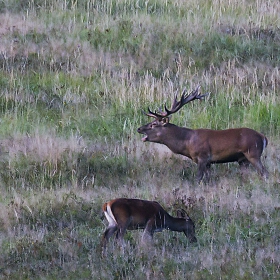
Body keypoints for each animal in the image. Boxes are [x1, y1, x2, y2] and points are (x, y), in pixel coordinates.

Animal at [137, 86, 268, 182]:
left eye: (153, 124)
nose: (139, 129)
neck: (187, 142)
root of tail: (263, 137)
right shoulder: (208, 162)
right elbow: (208, 179)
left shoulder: (203, 156)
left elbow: (198, 178)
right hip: (243, 160)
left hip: (253, 153)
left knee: (264, 172)